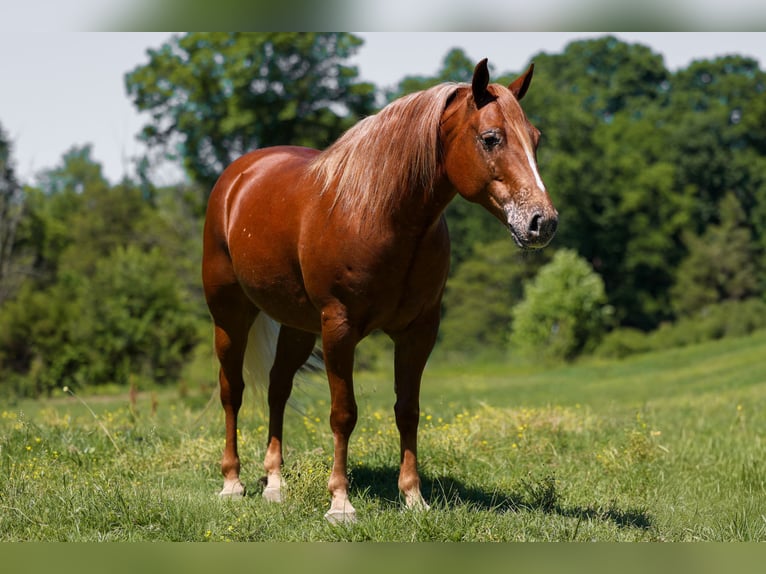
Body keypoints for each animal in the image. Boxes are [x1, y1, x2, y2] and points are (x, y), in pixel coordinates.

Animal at [201, 58, 558, 523]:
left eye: (535, 138)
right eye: (491, 138)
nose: (542, 222)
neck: (379, 213)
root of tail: (237, 177)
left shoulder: (418, 332)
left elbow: (408, 410)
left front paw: (414, 497)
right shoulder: (339, 329)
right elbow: (343, 413)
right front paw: (340, 502)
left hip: (298, 327)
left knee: (278, 389)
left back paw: (275, 484)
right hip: (230, 316)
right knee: (233, 391)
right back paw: (232, 483)